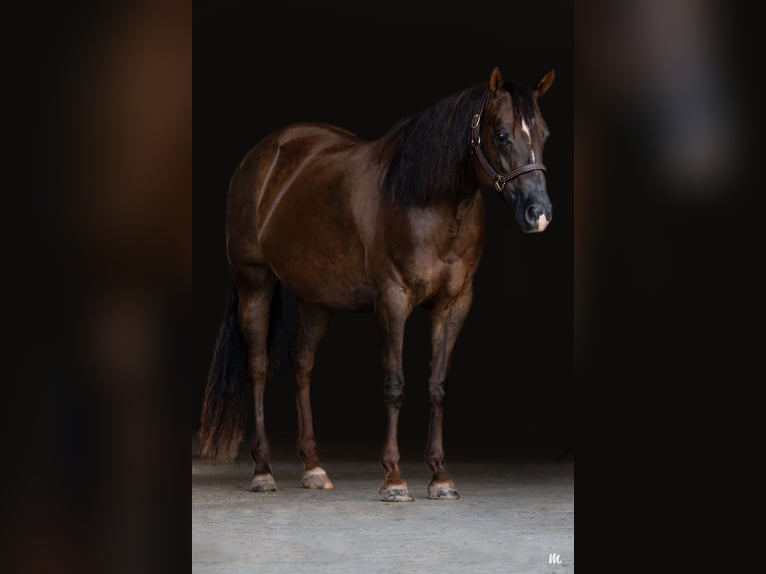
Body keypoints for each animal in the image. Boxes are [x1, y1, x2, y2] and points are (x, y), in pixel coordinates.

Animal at [200, 66, 555, 501]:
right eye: (503, 134)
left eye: (544, 134)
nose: (539, 213)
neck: (429, 201)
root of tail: (262, 156)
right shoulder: (392, 301)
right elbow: (394, 384)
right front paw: (394, 478)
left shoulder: (454, 305)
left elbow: (437, 386)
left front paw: (440, 477)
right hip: (254, 284)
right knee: (258, 367)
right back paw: (263, 471)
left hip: (316, 298)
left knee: (301, 363)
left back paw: (313, 467)